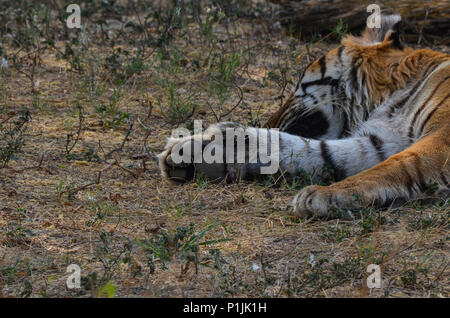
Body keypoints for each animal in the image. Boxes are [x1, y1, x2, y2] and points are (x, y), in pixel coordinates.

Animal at [157, 14, 446, 219]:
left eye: (297, 85)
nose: (269, 122)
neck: (388, 98)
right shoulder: (380, 141)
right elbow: (315, 151)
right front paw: (204, 150)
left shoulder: (440, 141)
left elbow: (399, 164)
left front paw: (320, 196)